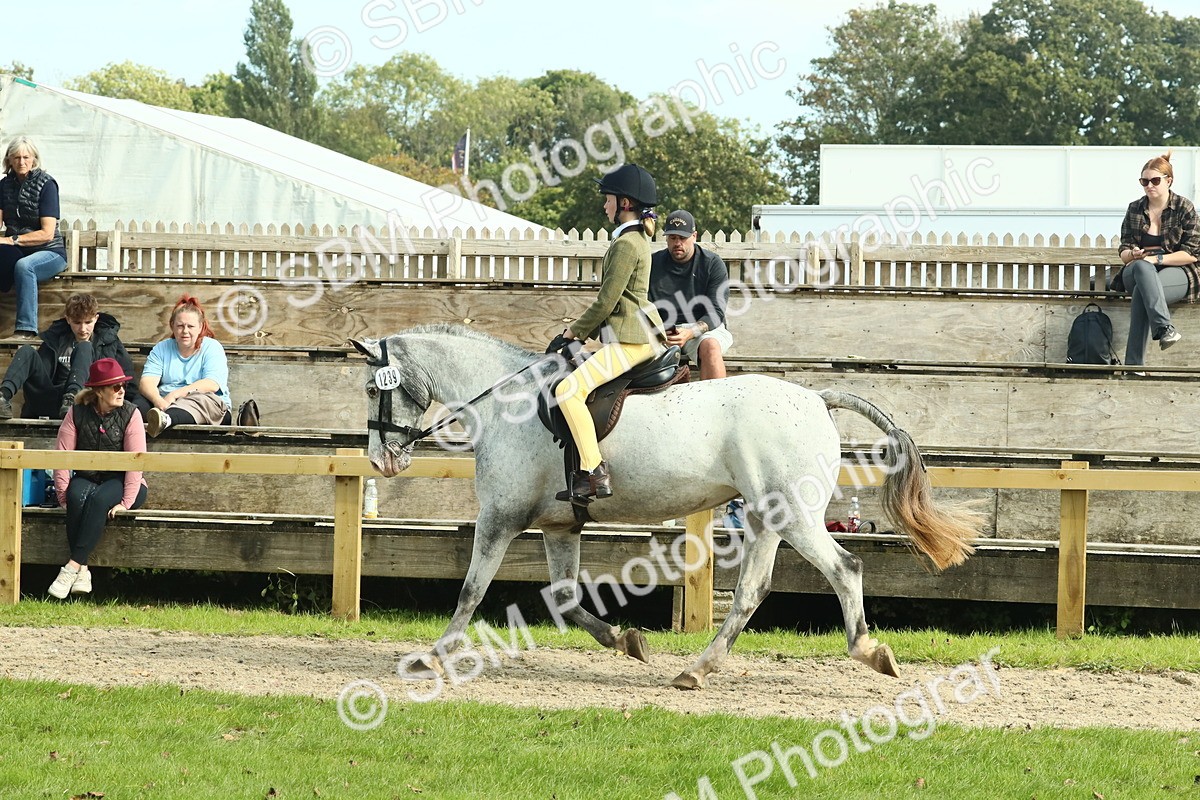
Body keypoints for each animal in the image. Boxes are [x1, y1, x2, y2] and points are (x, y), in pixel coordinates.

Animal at [351, 324, 981, 690]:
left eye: (371, 390)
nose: (381, 459)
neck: (506, 401)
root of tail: (814, 397)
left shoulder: (499, 518)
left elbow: (470, 591)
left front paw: (432, 657)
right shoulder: (559, 526)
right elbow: (564, 599)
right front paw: (625, 641)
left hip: (796, 518)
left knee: (845, 569)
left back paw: (870, 652)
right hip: (766, 519)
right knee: (752, 590)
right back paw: (696, 670)